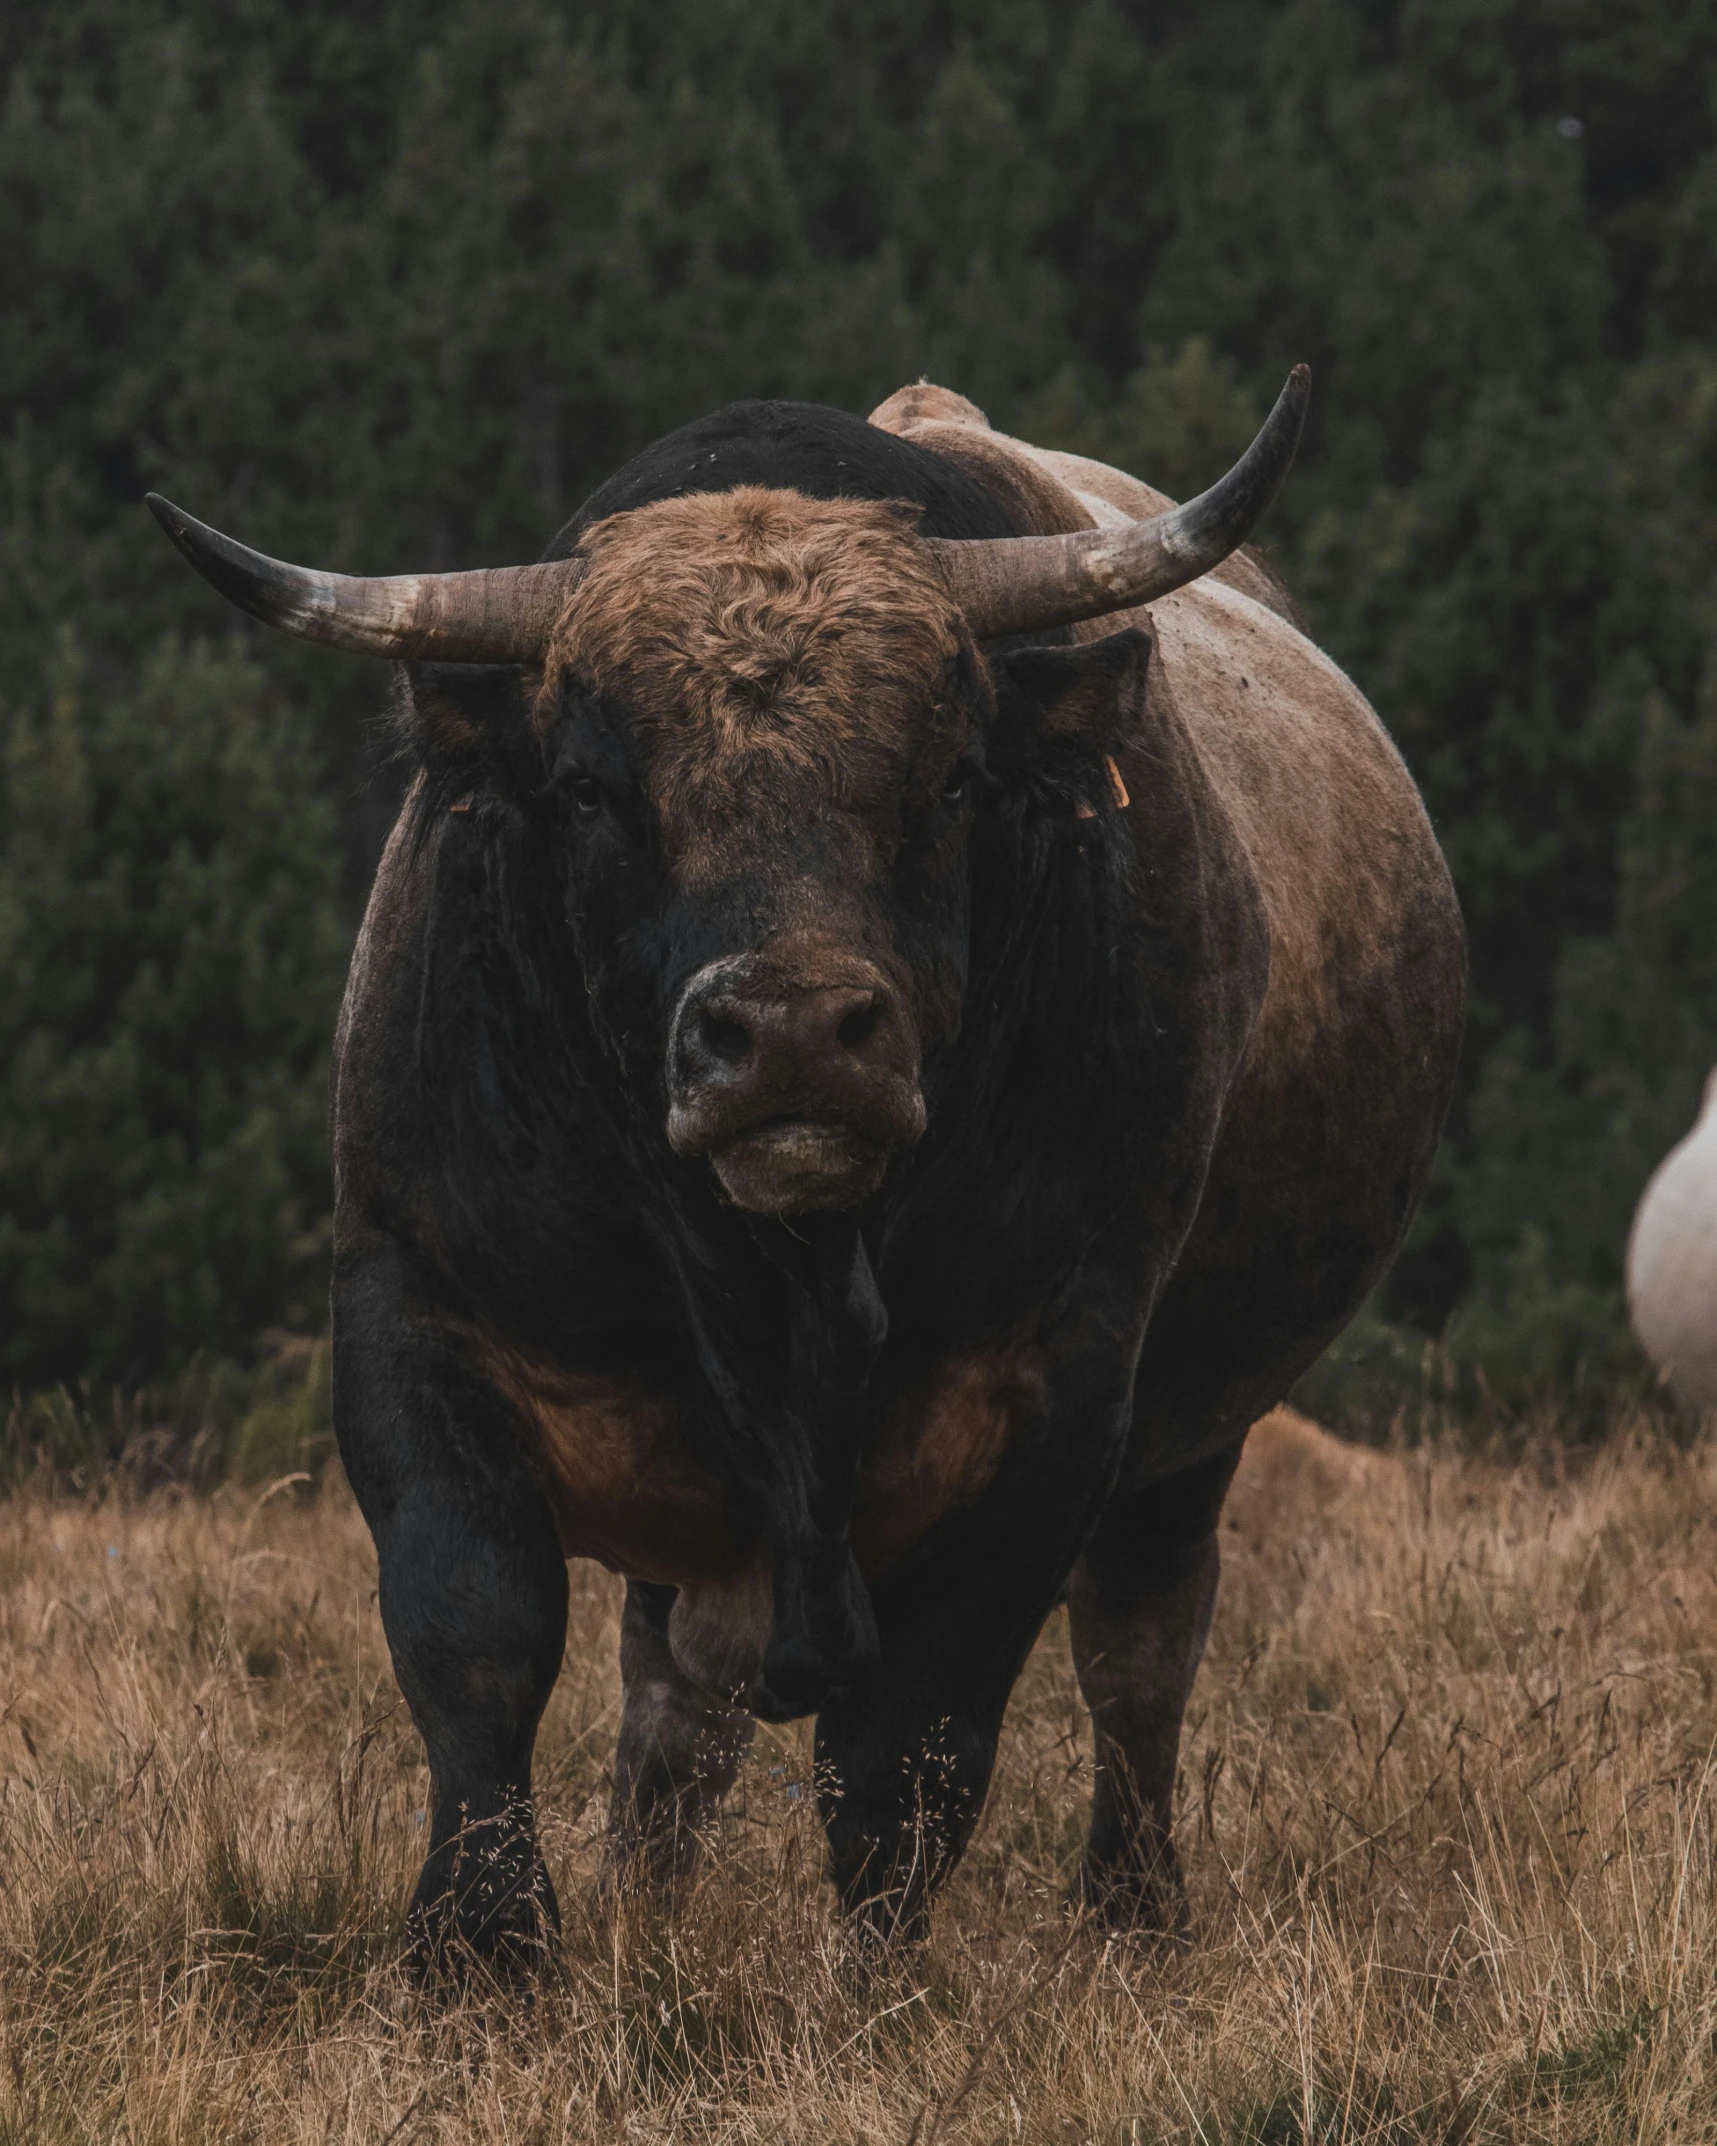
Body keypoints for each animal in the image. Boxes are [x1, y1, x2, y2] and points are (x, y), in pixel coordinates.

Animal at [151, 369, 1459, 1965]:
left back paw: (1132, 1911)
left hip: (1194, 1432)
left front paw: (879, 1978)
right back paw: (645, 1908)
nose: (788, 1037)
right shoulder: (411, 1315)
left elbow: (914, 1741)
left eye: (951, 778)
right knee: (673, 1713)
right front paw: (483, 1951)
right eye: (588, 789)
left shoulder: (1057, 1393)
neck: (782, 1287)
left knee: (1139, 1650)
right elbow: (475, 1643)